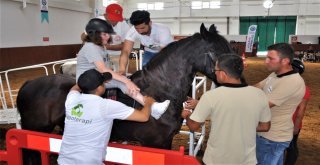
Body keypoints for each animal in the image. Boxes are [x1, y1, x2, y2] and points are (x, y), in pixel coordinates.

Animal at [16, 23, 232, 163]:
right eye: (216, 51)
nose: (235, 79)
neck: (161, 91)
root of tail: (28, 84)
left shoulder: (167, 140)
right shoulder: (156, 143)